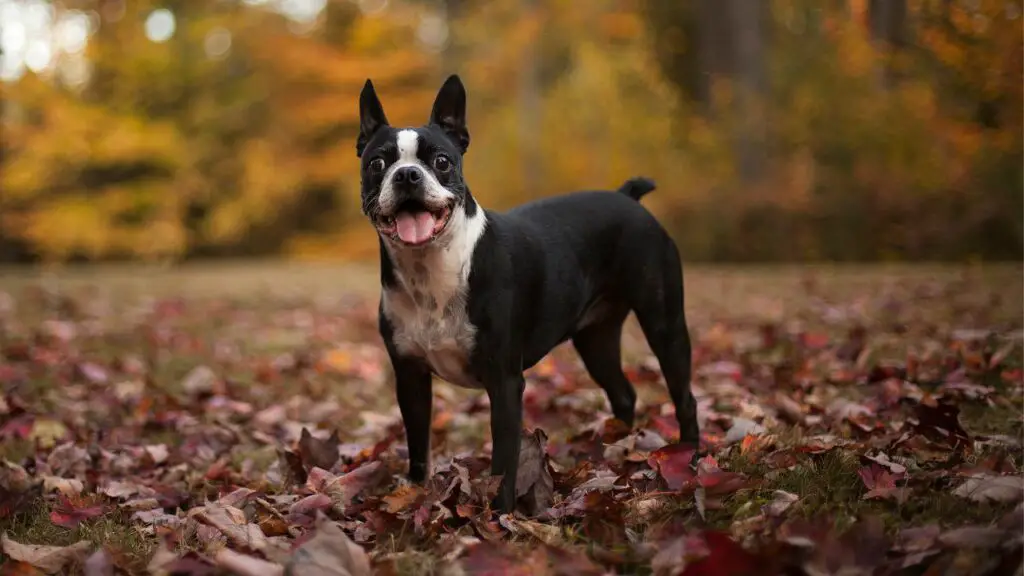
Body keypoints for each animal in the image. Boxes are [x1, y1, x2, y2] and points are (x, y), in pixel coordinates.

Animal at [356, 72, 700, 510]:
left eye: (441, 161)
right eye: (378, 163)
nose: (407, 175)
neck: (431, 272)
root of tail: (628, 198)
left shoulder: (504, 382)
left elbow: (504, 460)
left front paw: (499, 514)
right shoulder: (410, 377)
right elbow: (419, 448)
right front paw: (415, 496)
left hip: (663, 323)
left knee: (683, 394)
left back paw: (691, 457)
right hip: (596, 338)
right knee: (623, 393)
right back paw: (611, 453)